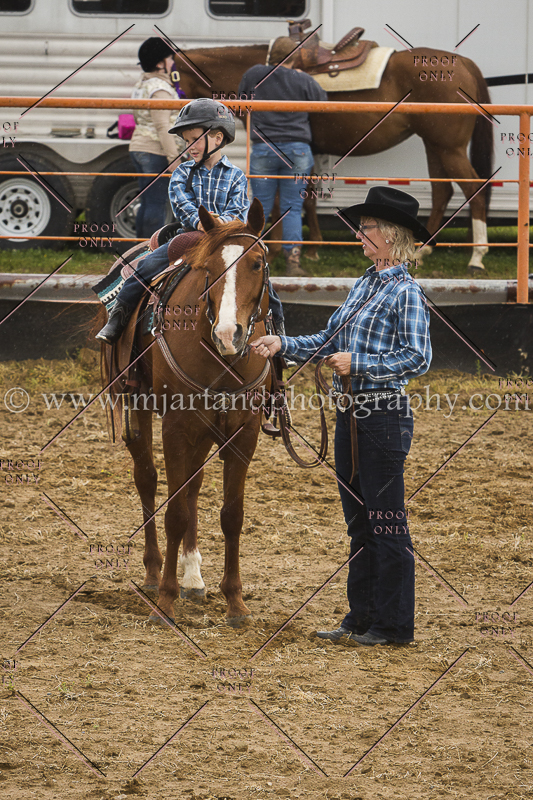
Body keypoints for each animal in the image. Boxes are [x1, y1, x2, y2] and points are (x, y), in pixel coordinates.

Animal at [102, 199, 272, 626]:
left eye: (257, 263)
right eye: (208, 269)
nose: (229, 334)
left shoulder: (243, 432)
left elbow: (231, 515)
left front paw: (236, 603)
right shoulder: (177, 428)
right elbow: (175, 512)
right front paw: (166, 600)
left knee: (193, 487)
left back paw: (194, 577)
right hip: (139, 405)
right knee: (147, 479)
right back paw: (152, 572)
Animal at [176, 44, 493, 271]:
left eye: (173, 75)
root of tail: (464, 64)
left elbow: (282, 198)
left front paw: (281, 249)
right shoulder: (309, 151)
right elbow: (308, 199)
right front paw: (313, 248)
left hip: (449, 148)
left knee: (473, 189)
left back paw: (477, 257)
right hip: (436, 146)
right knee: (442, 191)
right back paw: (423, 250)